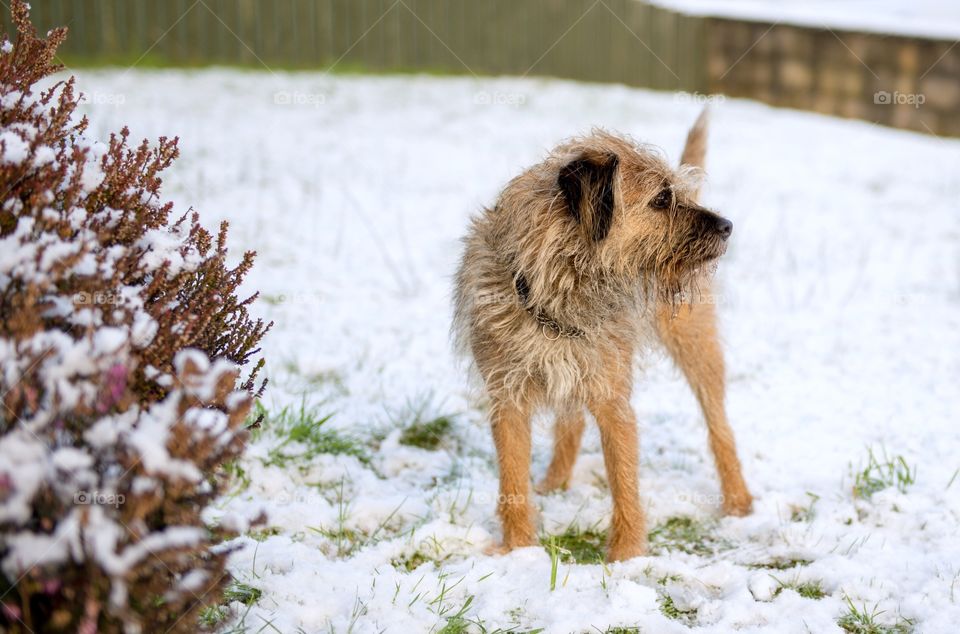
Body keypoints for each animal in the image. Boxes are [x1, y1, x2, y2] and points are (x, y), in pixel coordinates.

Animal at [454, 111, 752, 560]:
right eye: (661, 199)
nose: (727, 225)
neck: (560, 295)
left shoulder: (613, 401)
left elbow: (624, 482)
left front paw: (626, 558)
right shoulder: (508, 401)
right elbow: (512, 480)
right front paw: (519, 550)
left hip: (696, 346)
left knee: (720, 427)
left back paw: (738, 501)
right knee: (572, 422)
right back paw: (554, 485)